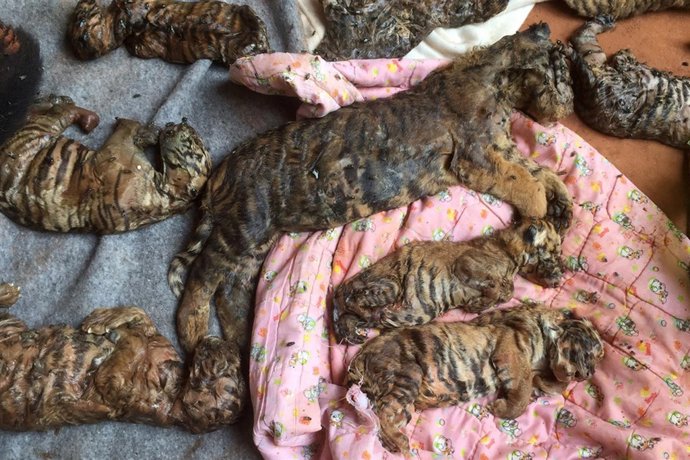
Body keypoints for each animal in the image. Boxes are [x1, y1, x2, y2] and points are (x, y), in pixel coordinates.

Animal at [0, 95, 211, 233]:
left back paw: (76, 111)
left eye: (194, 140)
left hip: (40, 130)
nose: (183, 122)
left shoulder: (118, 146)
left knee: (59, 111)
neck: (166, 196)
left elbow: (128, 124)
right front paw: (152, 132)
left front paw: (147, 131)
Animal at [0, 282, 245, 432]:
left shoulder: (117, 387)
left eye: (219, 366)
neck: (176, 380)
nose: (222, 341)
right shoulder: (152, 338)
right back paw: (7, 292)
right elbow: (140, 316)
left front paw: (116, 333)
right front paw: (103, 319)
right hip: (11, 327)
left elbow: (131, 348)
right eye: (233, 365)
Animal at [332, 218, 564, 344]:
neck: (508, 252)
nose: (560, 279)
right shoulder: (467, 264)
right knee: (356, 301)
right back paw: (370, 314)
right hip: (390, 286)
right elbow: (501, 288)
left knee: (348, 317)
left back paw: (354, 331)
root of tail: (341, 288)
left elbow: (506, 290)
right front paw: (479, 304)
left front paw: (479, 303)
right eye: (554, 252)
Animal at [346, 303, 605, 454]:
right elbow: (521, 393)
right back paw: (400, 443)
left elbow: (554, 383)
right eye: (592, 352)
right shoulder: (511, 349)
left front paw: (543, 383)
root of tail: (360, 357)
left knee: (383, 415)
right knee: (383, 411)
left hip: (406, 401)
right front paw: (502, 407)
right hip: (408, 376)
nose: (589, 374)